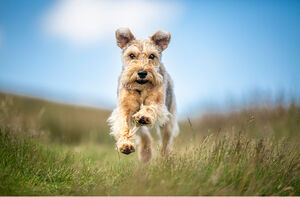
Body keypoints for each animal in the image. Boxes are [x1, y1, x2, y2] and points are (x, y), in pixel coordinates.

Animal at [108, 27, 178, 162]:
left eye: (152, 55)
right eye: (131, 55)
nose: (142, 73)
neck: (141, 89)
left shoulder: (158, 104)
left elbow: (150, 108)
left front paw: (144, 116)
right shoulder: (125, 109)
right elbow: (124, 125)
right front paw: (125, 145)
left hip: (168, 121)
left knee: (166, 142)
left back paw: (165, 158)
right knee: (145, 136)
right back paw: (145, 154)